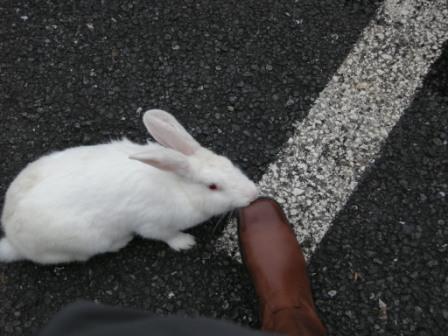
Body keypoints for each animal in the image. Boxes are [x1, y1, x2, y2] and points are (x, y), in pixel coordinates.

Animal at [0, 109, 260, 264]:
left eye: (228, 162)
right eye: (213, 186)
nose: (253, 193)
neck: (179, 188)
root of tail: (13, 241)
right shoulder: (153, 224)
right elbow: (165, 236)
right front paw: (185, 243)